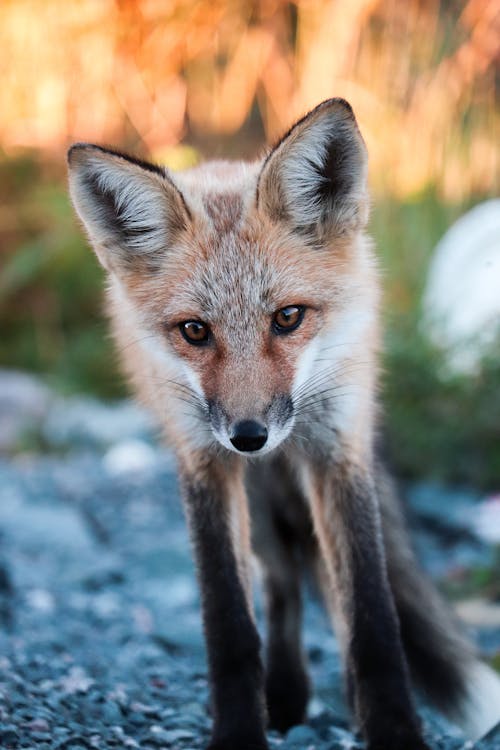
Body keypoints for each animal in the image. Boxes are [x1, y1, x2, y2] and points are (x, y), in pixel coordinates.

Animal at [67, 100, 500, 750]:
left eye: (288, 318)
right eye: (194, 331)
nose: (249, 436)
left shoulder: (337, 453)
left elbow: (372, 619)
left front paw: (394, 728)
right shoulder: (206, 464)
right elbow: (228, 624)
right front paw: (239, 732)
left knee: (324, 584)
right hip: (256, 494)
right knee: (281, 581)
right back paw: (288, 694)